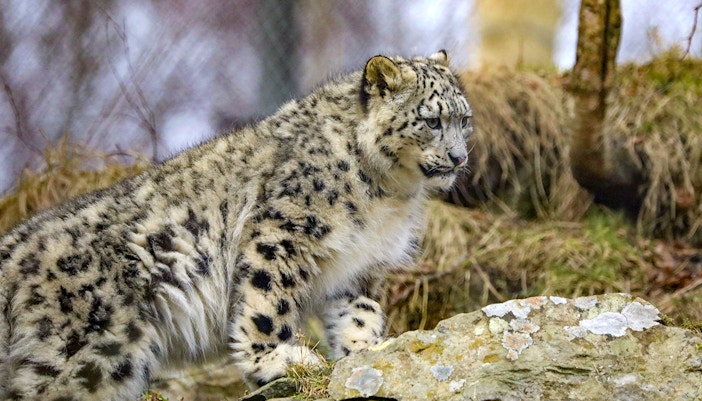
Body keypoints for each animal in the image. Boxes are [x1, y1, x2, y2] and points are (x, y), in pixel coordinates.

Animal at [0, 50, 473, 400]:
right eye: (432, 120)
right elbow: (268, 301)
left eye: (464, 120)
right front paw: (274, 360)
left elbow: (360, 312)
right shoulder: (282, 230)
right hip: (83, 356)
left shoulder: (359, 265)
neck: (387, 194)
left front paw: (364, 352)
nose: (459, 158)